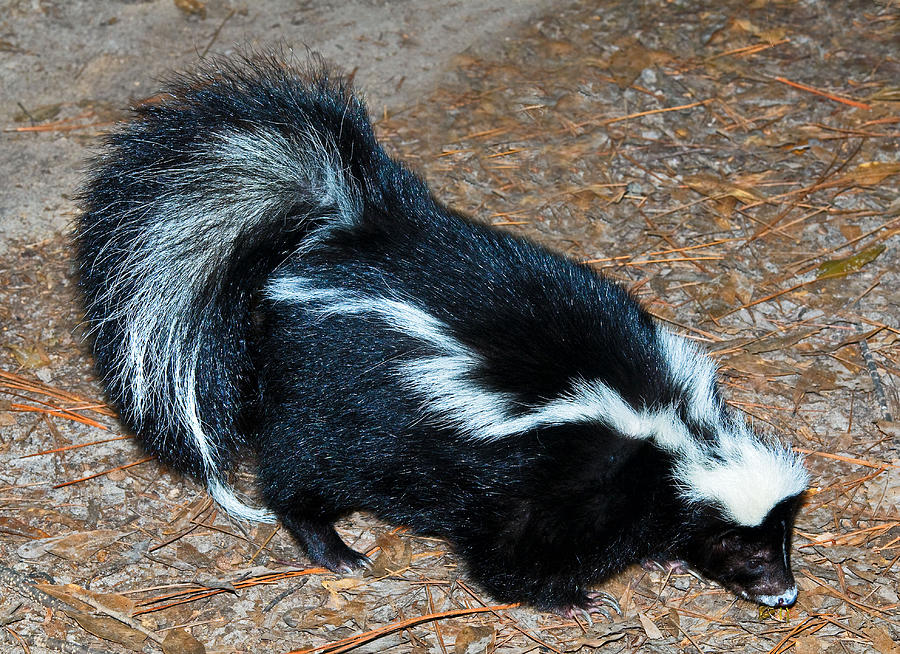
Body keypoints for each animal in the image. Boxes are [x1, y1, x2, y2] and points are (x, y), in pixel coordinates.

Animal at [77, 56, 808, 616]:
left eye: (782, 543)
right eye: (748, 552)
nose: (784, 593)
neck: (674, 436)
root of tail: (348, 232)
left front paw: (664, 560)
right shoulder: (547, 480)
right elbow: (506, 555)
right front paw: (569, 598)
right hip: (338, 409)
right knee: (296, 475)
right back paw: (336, 551)